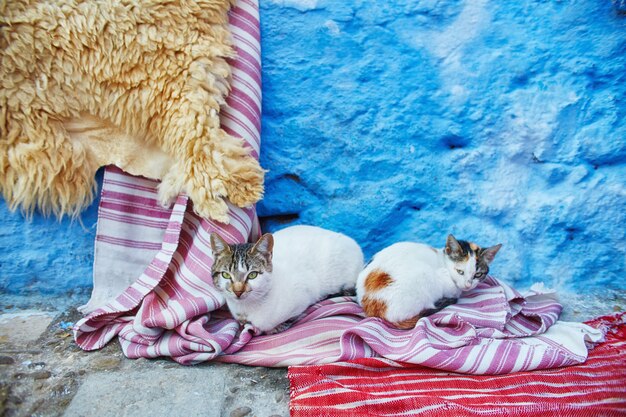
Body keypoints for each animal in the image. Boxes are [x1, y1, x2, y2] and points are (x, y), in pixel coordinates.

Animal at [210, 226, 360, 334]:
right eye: (226, 275)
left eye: (252, 275)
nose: (238, 291)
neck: (246, 308)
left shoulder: (304, 293)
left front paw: (277, 327)